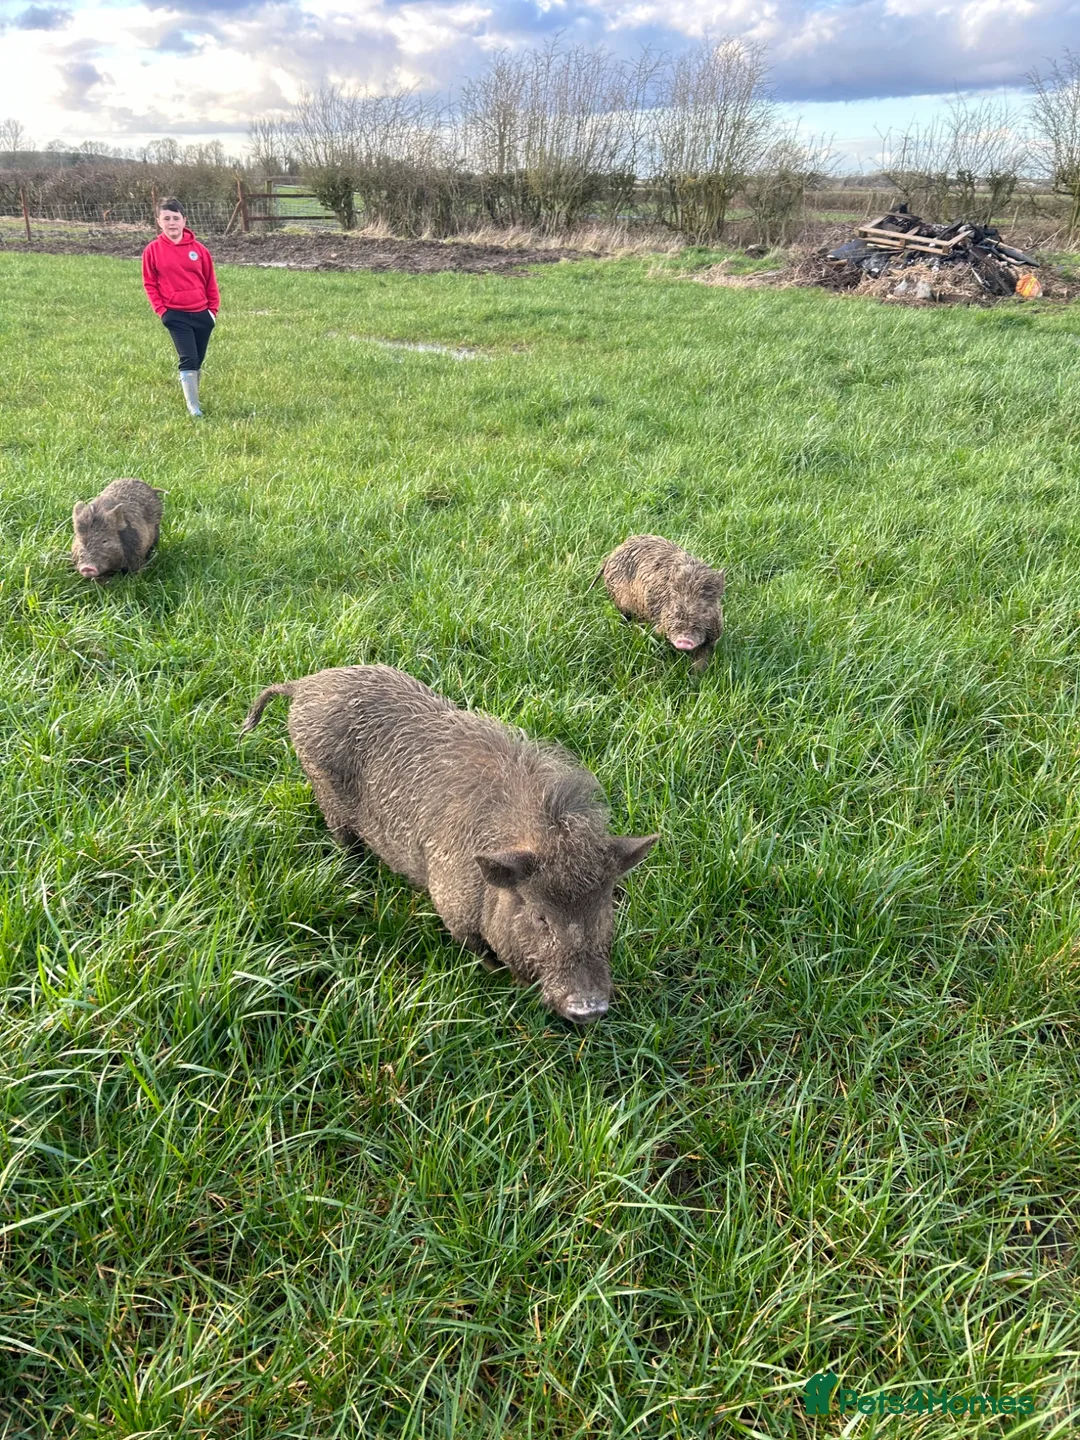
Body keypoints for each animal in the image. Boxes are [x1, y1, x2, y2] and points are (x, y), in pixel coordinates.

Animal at [242, 665, 657, 1023]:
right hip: (325, 793)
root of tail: (304, 684)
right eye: (540, 916)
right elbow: (480, 951)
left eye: (606, 905)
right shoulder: (450, 906)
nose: (590, 1006)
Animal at [598, 534, 724, 671]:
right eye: (676, 606)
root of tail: (612, 553)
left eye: (704, 610)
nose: (685, 640)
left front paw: (697, 675)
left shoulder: (712, 637)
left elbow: (701, 660)